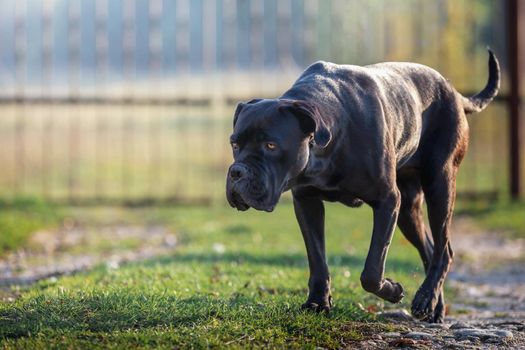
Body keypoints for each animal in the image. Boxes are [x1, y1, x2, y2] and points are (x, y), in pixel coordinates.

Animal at [225, 51, 500, 322]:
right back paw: (434, 305)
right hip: (409, 209)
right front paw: (318, 302)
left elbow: (372, 269)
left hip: (439, 186)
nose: (237, 171)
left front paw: (392, 290)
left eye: (270, 145)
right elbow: (317, 258)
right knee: (431, 249)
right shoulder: (306, 202)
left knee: (445, 251)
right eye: (235, 144)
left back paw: (425, 299)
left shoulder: (387, 200)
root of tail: (453, 90)